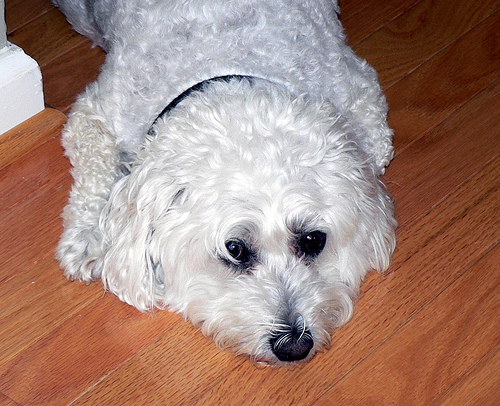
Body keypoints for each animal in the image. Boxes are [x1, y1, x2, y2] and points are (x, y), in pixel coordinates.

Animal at [54, 0, 397, 365]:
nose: (294, 346)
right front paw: (88, 236)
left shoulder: (360, 91)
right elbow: (95, 173)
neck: (226, 62)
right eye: (235, 249)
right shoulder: (93, 115)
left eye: (313, 239)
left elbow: (375, 151)